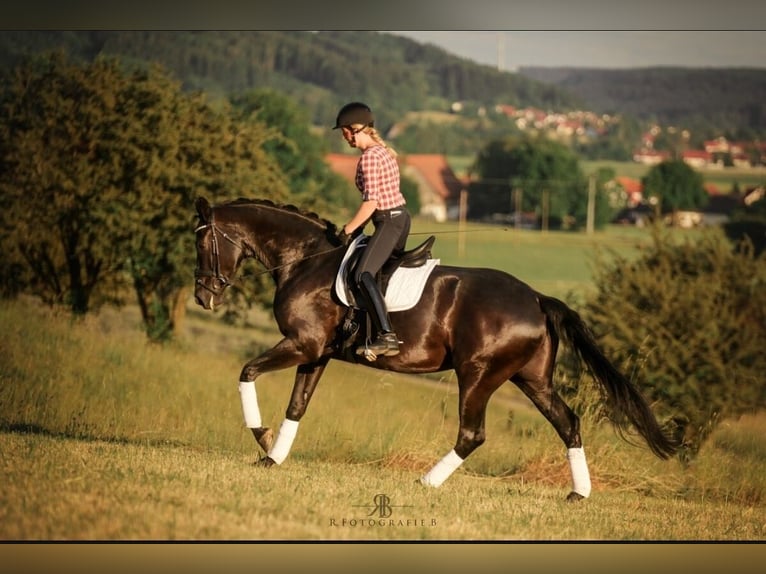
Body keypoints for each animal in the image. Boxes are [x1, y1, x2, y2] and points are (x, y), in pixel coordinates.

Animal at [194, 197, 680, 500]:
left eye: (201, 242)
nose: (203, 296)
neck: (306, 260)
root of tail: (537, 299)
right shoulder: (315, 353)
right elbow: (297, 405)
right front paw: (272, 456)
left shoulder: (301, 343)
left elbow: (247, 372)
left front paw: (260, 435)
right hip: (531, 379)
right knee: (568, 423)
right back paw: (578, 493)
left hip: (478, 374)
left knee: (472, 434)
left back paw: (426, 482)